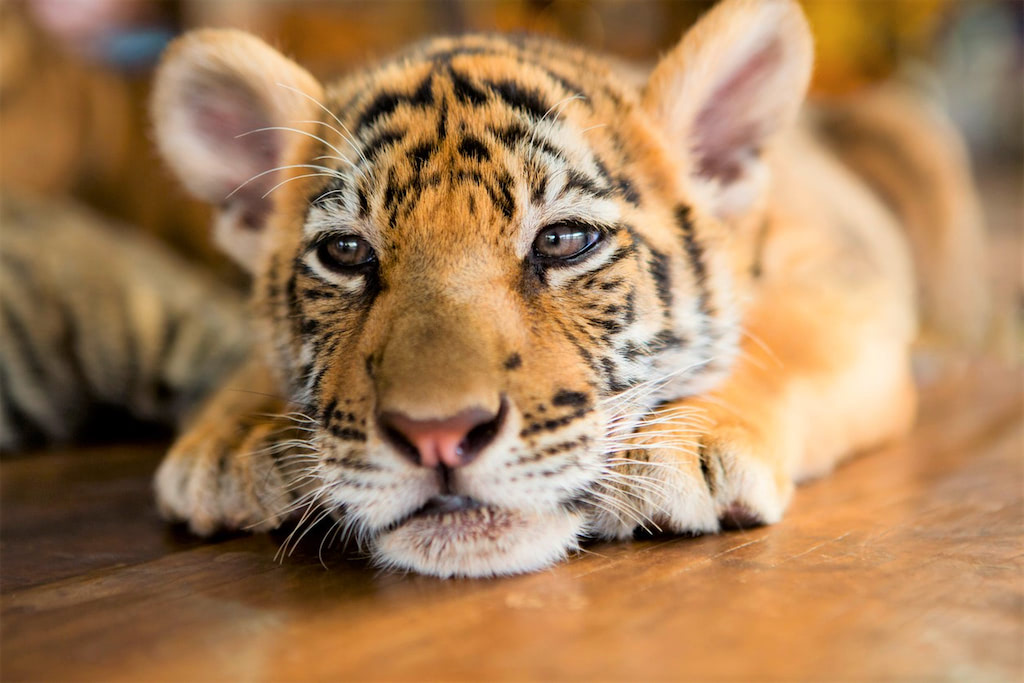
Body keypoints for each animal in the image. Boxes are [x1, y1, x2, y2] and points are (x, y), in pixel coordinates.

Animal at [148, 0, 988, 577]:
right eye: (347, 253)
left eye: (563, 241)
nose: (438, 435)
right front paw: (230, 439)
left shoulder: (842, 277)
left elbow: (784, 337)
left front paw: (684, 445)